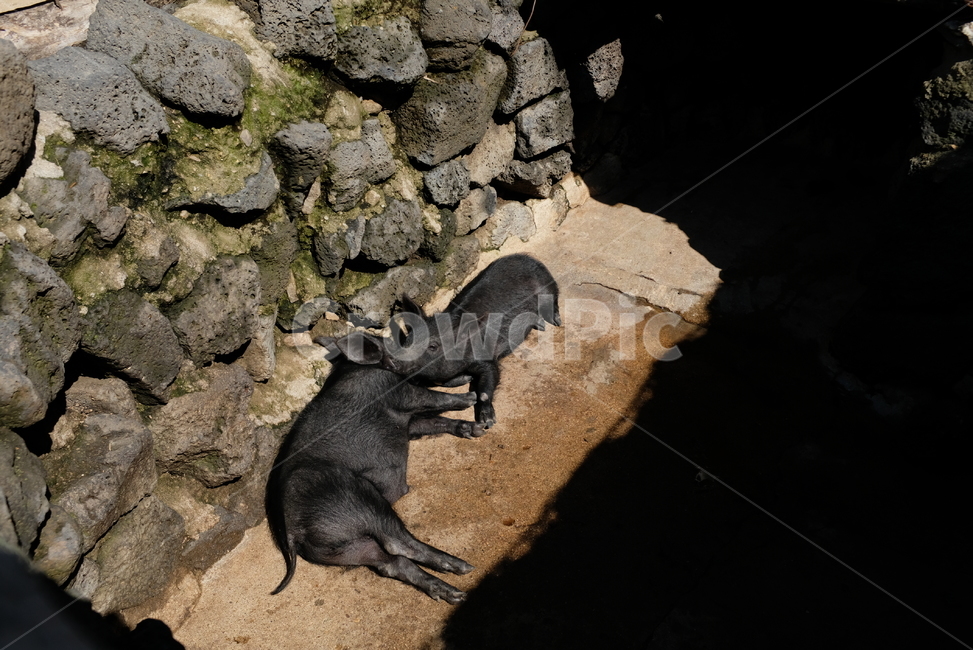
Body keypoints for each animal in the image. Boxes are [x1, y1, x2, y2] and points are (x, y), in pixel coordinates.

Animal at [265, 332, 484, 604]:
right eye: (429, 346)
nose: (467, 367)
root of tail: (291, 530)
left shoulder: (408, 425)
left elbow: (434, 421)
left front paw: (477, 429)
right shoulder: (399, 393)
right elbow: (434, 398)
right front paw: (471, 397)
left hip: (343, 549)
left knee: (391, 563)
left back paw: (455, 594)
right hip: (356, 496)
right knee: (397, 542)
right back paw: (465, 566)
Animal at [346, 254, 561, 428]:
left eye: (433, 346)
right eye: (407, 341)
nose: (393, 360)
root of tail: (525, 256)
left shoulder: (487, 358)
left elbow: (486, 385)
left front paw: (488, 422)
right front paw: (466, 379)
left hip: (548, 284)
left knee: (554, 301)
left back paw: (552, 322)